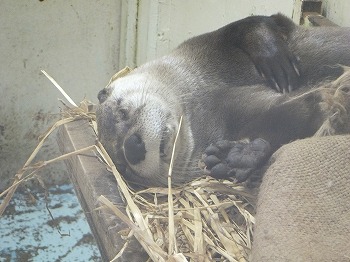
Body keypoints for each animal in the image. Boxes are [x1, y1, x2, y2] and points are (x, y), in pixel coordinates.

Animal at [95, 14, 350, 186]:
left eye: (122, 112)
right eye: (121, 164)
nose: (131, 147)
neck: (203, 91)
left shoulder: (214, 42)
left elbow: (253, 24)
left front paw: (274, 57)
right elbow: (287, 120)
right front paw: (239, 157)